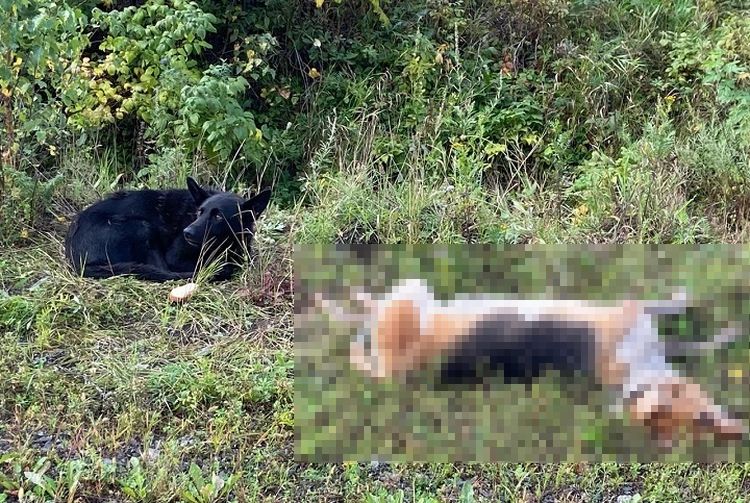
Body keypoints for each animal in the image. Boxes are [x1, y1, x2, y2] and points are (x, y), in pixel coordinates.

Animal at [64, 177, 271, 282]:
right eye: (199, 212)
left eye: (218, 216)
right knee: (162, 271)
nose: (187, 232)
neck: (225, 244)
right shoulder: (176, 258)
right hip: (142, 227)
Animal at [308, 278, 748, 448]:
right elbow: (672, 310)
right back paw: (348, 298)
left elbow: (693, 343)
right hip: (413, 292)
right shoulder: (633, 312)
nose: (735, 428)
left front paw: (724, 333)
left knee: (364, 322)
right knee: (367, 316)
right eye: (703, 414)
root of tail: (396, 375)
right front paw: (693, 303)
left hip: (408, 301)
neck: (636, 376)